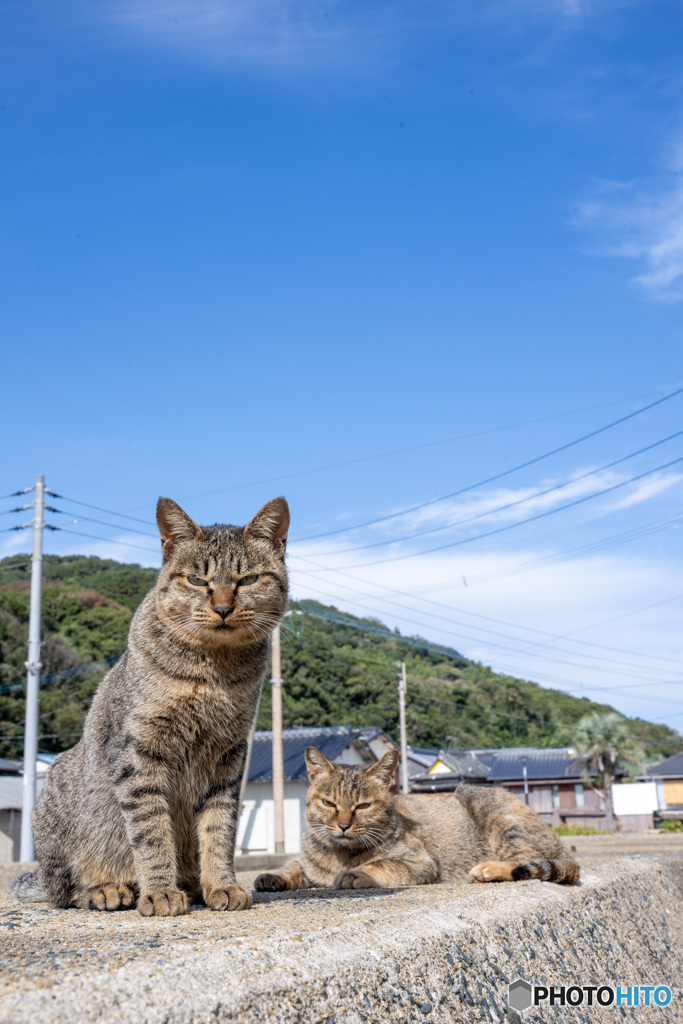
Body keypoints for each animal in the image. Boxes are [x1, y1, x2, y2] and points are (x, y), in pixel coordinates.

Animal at [9, 491, 290, 917]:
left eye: (248, 580)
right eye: (197, 580)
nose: (223, 607)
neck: (212, 671)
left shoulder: (228, 757)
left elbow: (219, 830)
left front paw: (221, 884)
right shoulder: (138, 755)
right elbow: (151, 832)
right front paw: (159, 891)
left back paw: (190, 885)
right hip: (59, 813)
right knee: (62, 891)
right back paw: (108, 890)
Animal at [253, 745, 581, 897]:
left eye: (363, 806)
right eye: (329, 803)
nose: (344, 824)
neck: (339, 853)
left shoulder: (421, 862)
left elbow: (382, 865)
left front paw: (357, 873)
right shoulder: (308, 864)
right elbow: (294, 867)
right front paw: (273, 876)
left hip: (495, 813)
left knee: (527, 860)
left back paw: (487, 870)